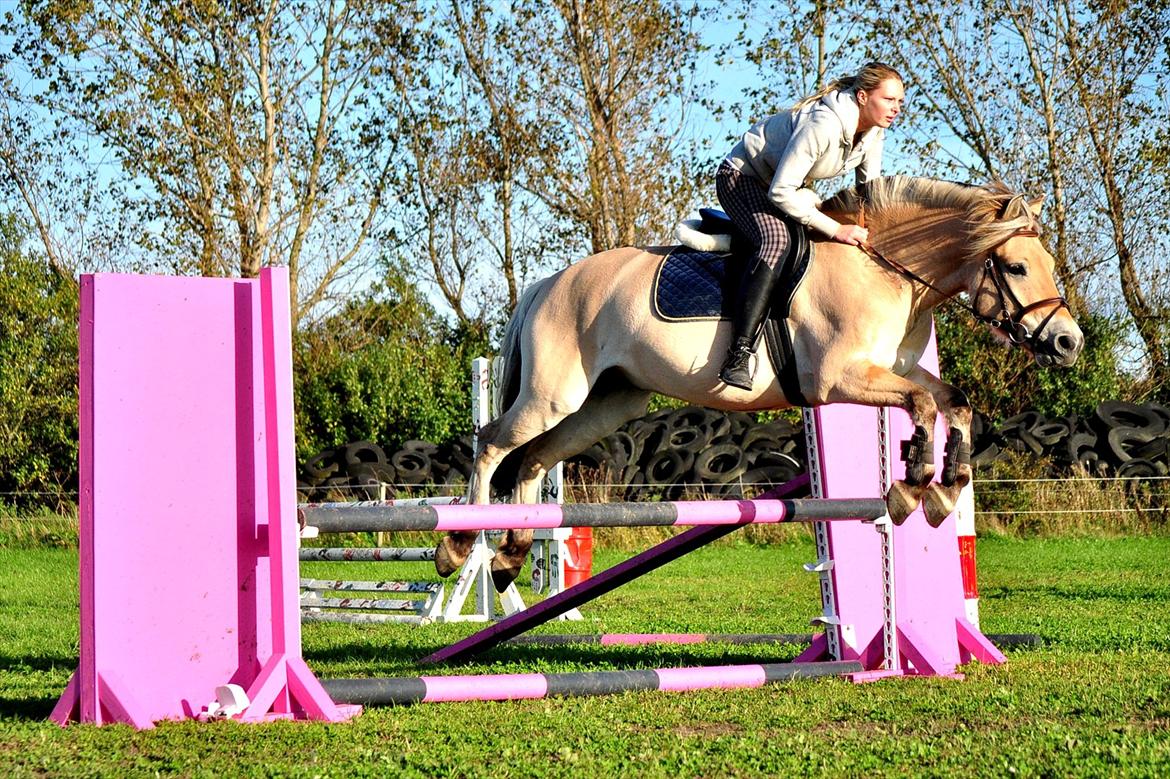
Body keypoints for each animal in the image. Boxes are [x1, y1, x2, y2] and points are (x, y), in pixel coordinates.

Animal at [439, 175, 1085, 589]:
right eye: (1018, 267)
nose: (1067, 342)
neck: (883, 270)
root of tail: (548, 283)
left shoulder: (894, 369)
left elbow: (955, 401)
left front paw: (946, 489)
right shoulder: (839, 379)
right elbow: (925, 403)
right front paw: (912, 486)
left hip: (606, 404)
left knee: (533, 459)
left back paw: (511, 556)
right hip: (553, 395)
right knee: (491, 443)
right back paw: (458, 546)